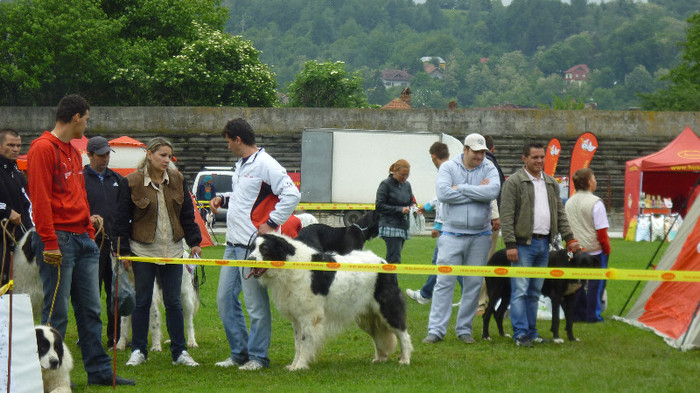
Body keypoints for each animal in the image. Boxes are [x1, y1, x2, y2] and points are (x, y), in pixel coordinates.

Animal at [247, 231, 412, 370]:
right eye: (252, 248)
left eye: (264, 249)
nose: (249, 259)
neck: (288, 265)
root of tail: (383, 261)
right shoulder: (297, 319)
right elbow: (297, 344)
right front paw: (293, 365)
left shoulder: (309, 316)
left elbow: (305, 342)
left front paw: (300, 366)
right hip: (367, 317)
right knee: (378, 335)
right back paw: (380, 358)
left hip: (387, 308)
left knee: (403, 334)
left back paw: (405, 359)